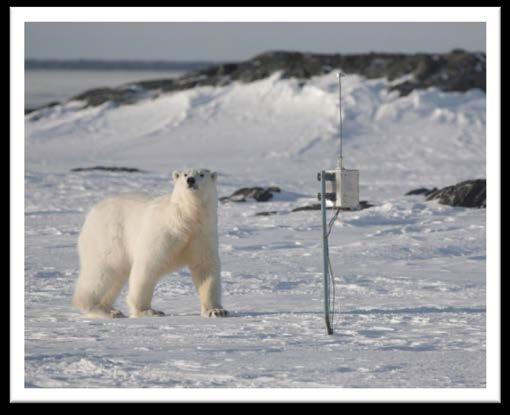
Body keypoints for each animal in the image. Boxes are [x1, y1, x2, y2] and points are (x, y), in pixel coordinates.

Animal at [72, 168, 228, 318]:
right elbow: (148, 266)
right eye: (185, 174)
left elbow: (205, 268)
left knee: (116, 276)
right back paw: (99, 309)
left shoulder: (202, 235)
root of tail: (93, 211)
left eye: (201, 174)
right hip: (108, 237)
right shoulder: (162, 234)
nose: (190, 180)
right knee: (102, 270)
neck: (186, 219)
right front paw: (148, 311)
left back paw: (109, 308)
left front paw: (216, 311)